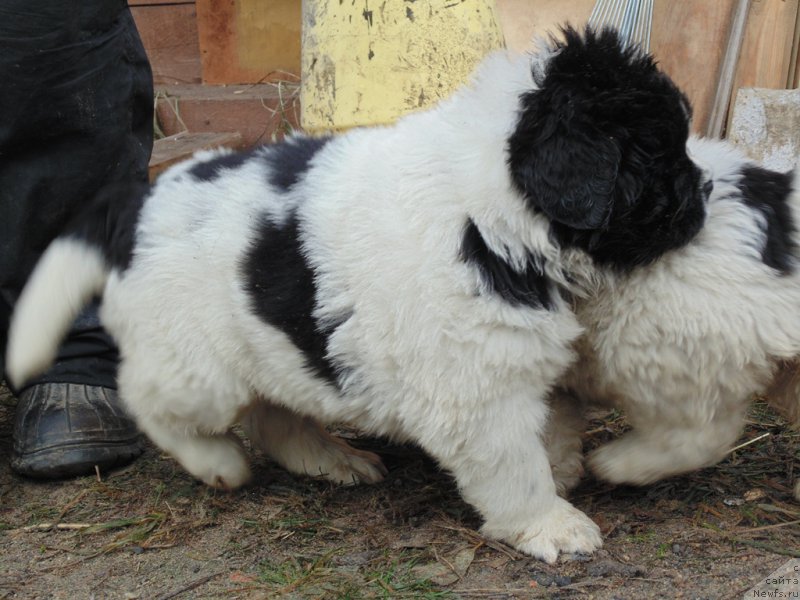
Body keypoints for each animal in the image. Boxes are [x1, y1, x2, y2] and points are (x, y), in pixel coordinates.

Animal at [4, 27, 708, 564]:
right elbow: (514, 464)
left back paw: (331, 460)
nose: (703, 194)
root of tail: (139, 205)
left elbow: (555, 425)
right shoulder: (477, 392)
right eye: (659, 154)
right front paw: (550, 524)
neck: (490, 211)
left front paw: (564, 471)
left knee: (275, 413)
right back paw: (218, 463)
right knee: (151, 399)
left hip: (275, 348)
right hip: (196, 365)